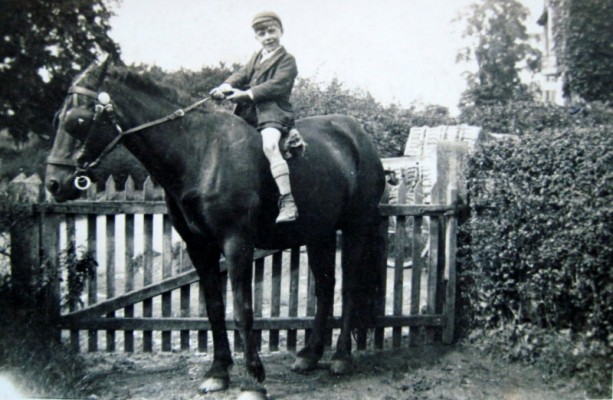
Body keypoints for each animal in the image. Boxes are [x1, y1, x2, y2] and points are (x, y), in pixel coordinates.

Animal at [45, 55, 384, 396]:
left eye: (77, 120)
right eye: (57, 117)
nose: (54, 183)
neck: (200, 152)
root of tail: (359, 138)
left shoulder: (237, 245)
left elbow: (243, 309)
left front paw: (253, 378)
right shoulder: (199, 248)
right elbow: (214, 307)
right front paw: (219, 371)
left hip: (355, 229)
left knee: (349, 287)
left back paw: (341, 358)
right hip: (319, 235)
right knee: (326, 288)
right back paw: (310, 356)